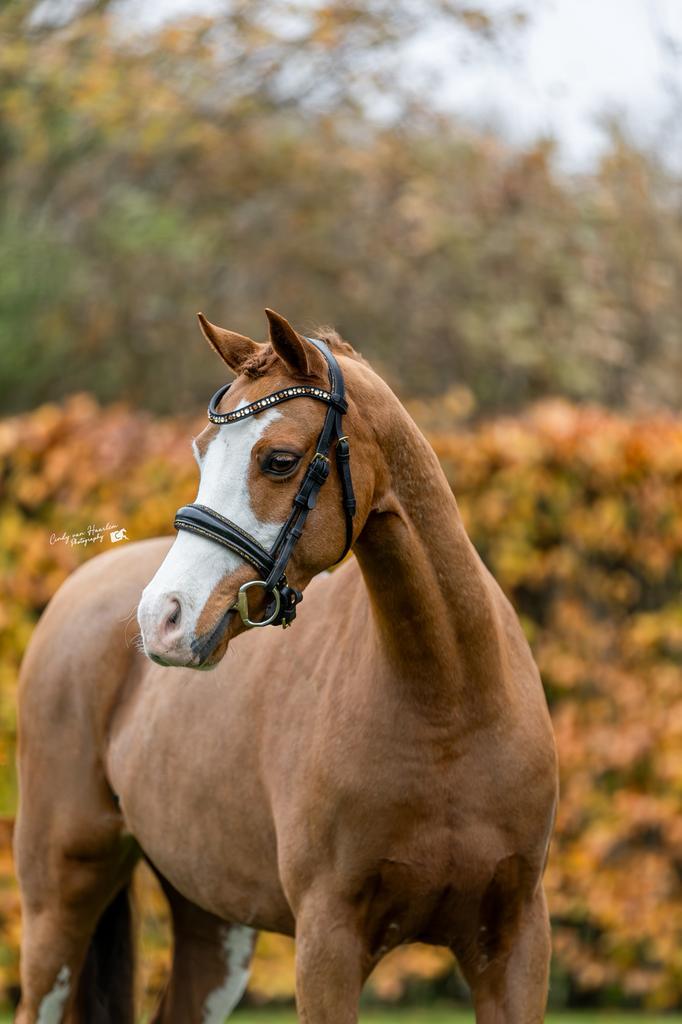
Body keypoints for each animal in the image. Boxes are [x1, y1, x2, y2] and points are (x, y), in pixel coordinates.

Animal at [13, 308, 558, 1024]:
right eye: (201, 452)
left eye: (279, 460)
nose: (163, 617)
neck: (450, 707)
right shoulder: (326, 944)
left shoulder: (515, 944)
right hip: (59, 897)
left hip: (212, 924)